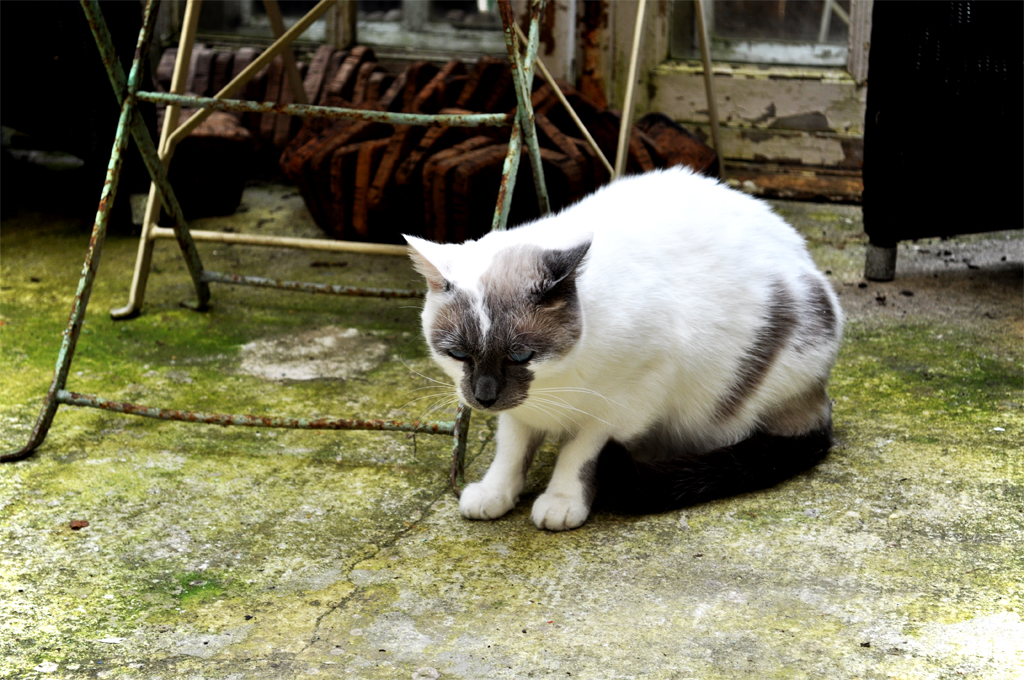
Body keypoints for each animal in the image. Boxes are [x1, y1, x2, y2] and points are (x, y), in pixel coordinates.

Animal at [403, 164, 843, 532]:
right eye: (459, 354)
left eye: (520, 356)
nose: (485, 397)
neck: (554, 385)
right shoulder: (520, 411)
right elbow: (511, 449)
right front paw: (495, 492)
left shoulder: (623, 403)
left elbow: (580, 454)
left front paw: (562, 500)